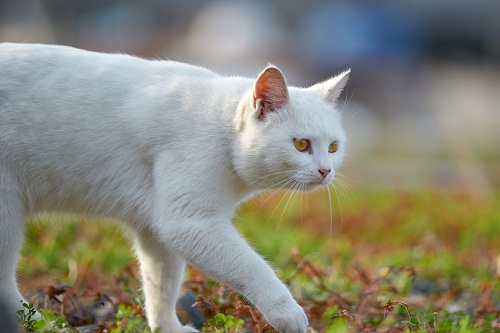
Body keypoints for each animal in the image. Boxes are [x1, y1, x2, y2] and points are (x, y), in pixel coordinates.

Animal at [0, 43, 348, 332]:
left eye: (333, 146)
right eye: (301, 144)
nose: (326, 170)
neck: (223, 130)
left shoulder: (156, 230)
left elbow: (161, 285)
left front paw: (165, 327)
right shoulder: (188, 223)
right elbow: (252, 267)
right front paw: (288, 312)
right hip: (7, 214)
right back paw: (35, 322)